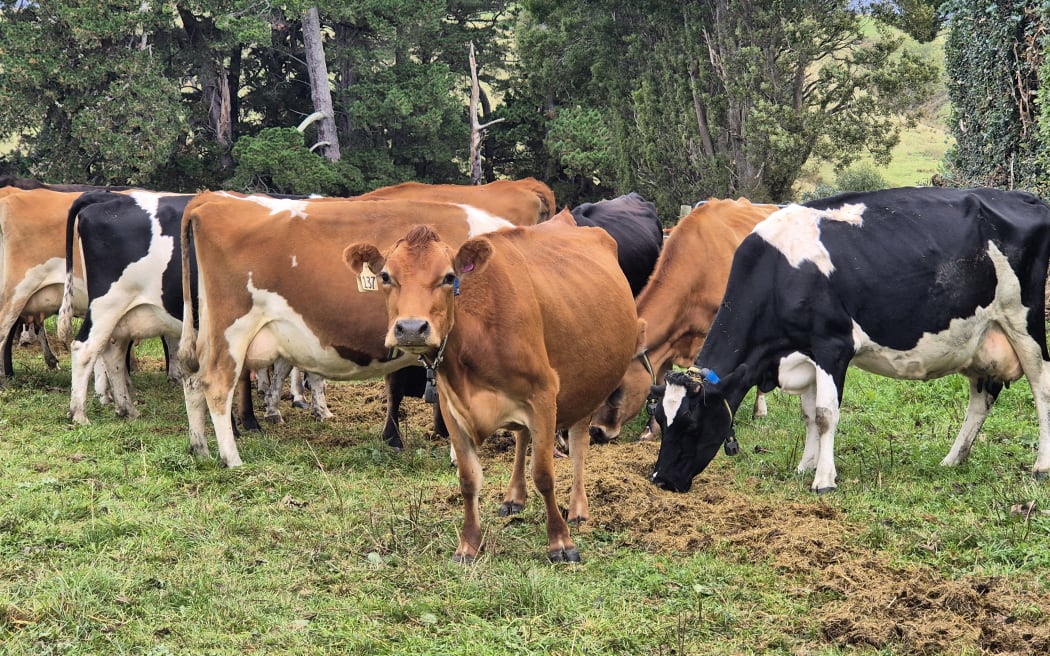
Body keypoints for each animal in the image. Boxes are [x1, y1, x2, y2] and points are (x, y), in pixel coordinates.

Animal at [178, 188, 518, 466]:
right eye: (386, 276)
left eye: (448, 277)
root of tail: (212, 198)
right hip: (232, 328)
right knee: (216, 383)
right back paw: (232, 459)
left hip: (208, 328)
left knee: (193, 378)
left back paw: (201, 449)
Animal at [344, 212, 638, 558]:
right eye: (386, 276)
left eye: (449, 277)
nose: (412, 328)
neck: (478, 335)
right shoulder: (452, 406)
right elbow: (468, 479)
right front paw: (469, 544)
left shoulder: (544, 394)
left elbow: (544, 474)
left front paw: (561, 542)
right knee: (523, 436)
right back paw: (514, 497)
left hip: (588, 384)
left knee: (579, 441)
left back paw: (578, 508)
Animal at [642, 184, 1050, 491]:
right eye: (660, 419)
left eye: (692, 422)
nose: (661, 480)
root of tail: (1026, 198)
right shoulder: (802, 353)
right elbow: (808, 414)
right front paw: (805, 466)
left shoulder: (832, 346)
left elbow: (825, 414)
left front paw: (823, 479)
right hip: (981, 338)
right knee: (981, 399)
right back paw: (952, 459)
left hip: (1023, 321)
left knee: (1041, 386)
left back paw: (1041, 467)